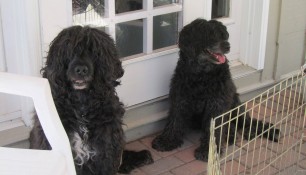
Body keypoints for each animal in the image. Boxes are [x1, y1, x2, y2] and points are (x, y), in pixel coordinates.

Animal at [151, 18, 280, 161]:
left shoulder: (216, 105)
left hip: (236, 105)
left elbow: (214, 130)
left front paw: (207, 151)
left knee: (245, 123)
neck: (201, 76)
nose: (227, 45)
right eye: (211, 36)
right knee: (232, 126)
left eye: (223, 35)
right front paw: (167, 141)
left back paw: (246, 133)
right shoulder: (180, 100)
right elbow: (175, 121)